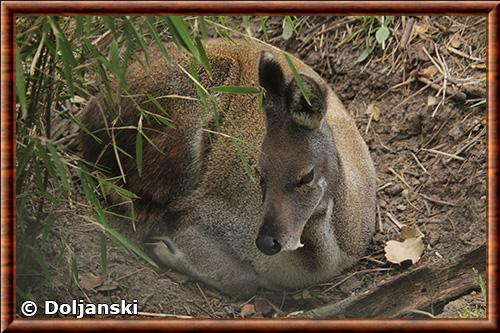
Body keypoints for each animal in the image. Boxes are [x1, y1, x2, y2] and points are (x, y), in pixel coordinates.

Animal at [80, 39, 376, 298]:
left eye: (307, 175)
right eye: (259, 173)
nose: (268, 241)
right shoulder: (199, 210)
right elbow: (243, 280)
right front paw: (164, 248)